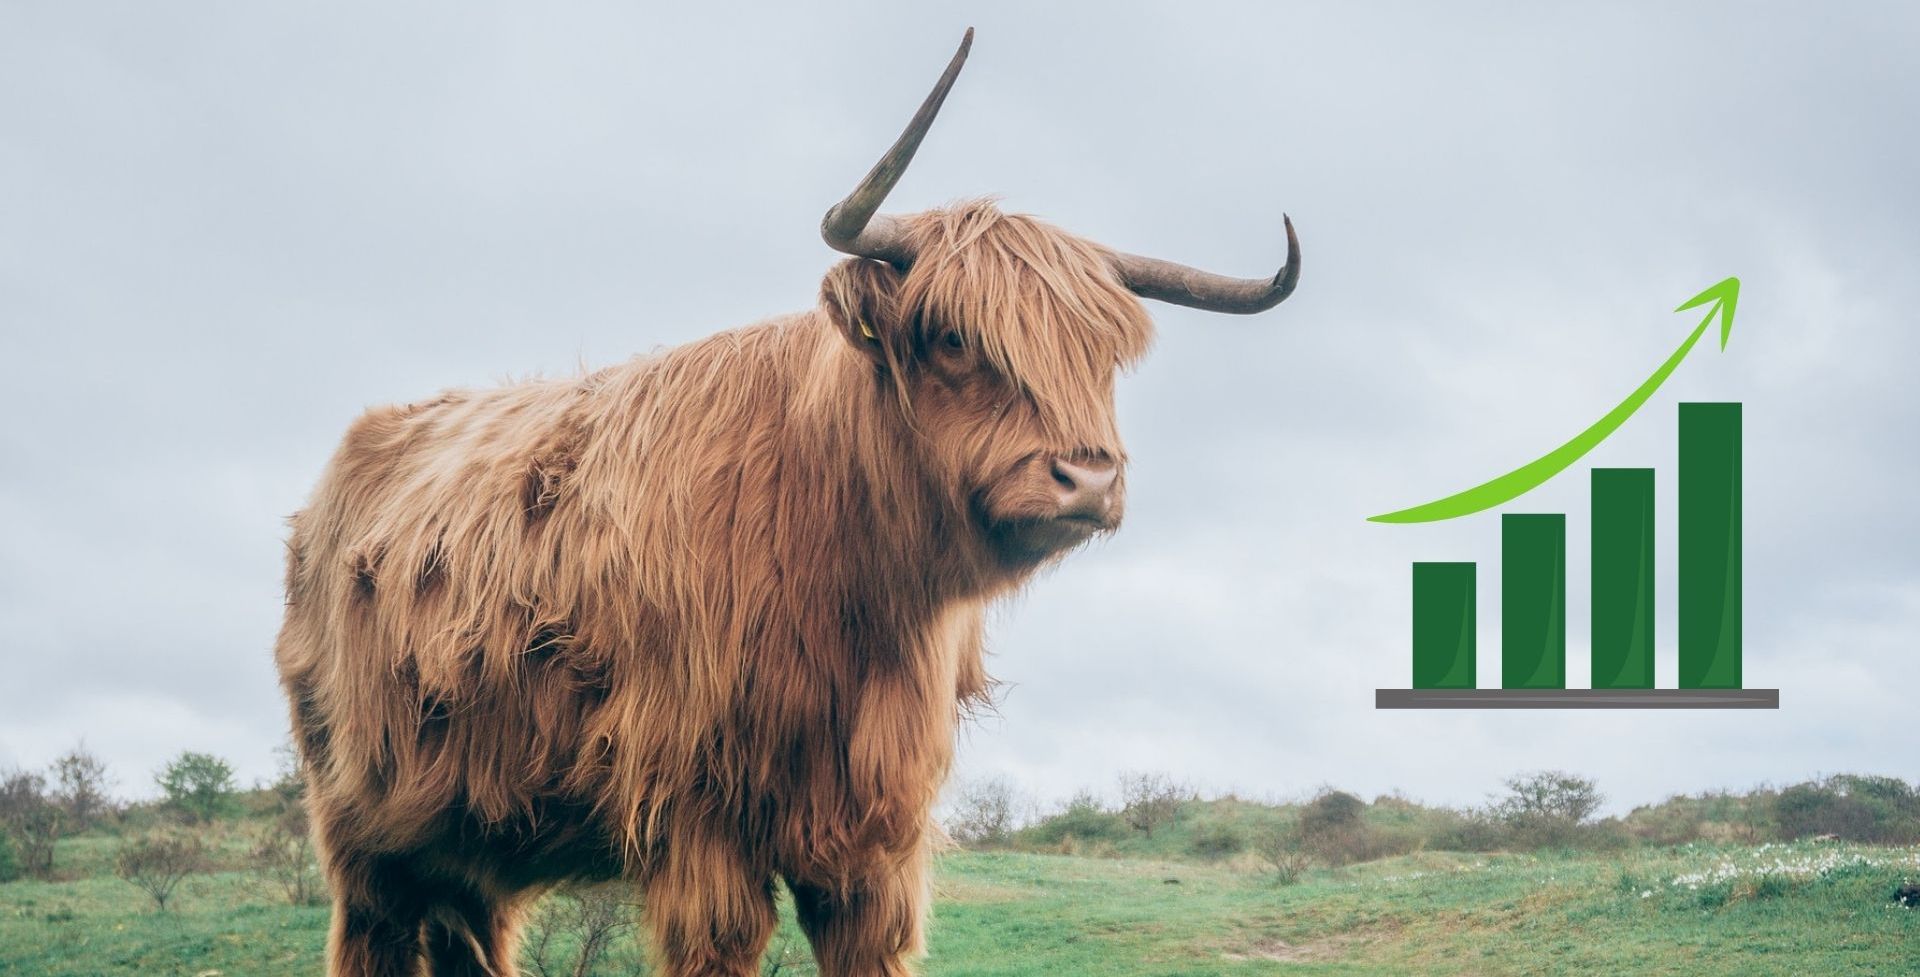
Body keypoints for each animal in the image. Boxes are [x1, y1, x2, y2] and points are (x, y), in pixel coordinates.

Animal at [275, 29, 1300, 977]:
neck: (853, 590)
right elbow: (721, 941)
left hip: (472, 833)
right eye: (952, 336)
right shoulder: (697, 815)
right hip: (362, 825)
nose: (1087, 478)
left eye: (1104, 356)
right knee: (371, 932)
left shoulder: (876, 836)